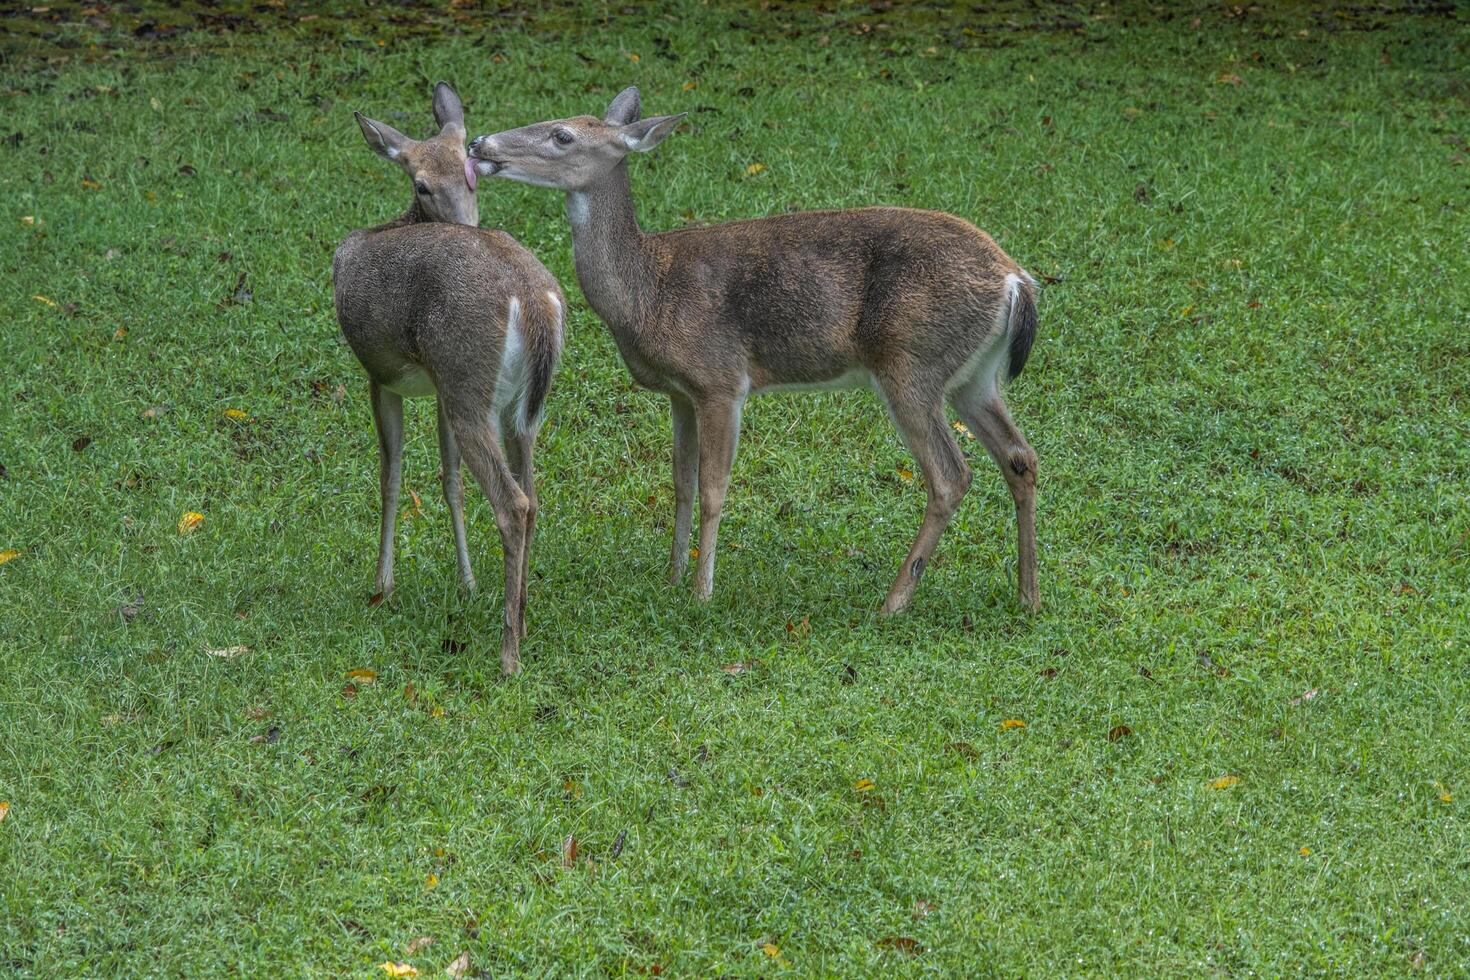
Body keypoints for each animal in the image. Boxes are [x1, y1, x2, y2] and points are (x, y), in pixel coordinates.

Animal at [336, 82, 564, 675]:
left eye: (472, 175)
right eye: (423, 183)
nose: (467, 223)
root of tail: (534, 301)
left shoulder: (380, 373)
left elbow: (391, 475)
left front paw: (382, 584)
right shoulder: (438, 386)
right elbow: (449, 478)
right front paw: (466, 582)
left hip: (468, 380)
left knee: (514, 504)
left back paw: (508, 655)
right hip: (507, 403)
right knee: (533, 494)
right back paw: (522, 619)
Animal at [464, 88, 1040, 617]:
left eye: (562, 135)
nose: (479, 143)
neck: (649, 289)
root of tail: (1016, 281)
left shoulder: (721, 378)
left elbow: (713, 488)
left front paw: (701, 594)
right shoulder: (680, 392)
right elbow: (680, 482)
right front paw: (672, 577)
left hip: (911, 362)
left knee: (950, 475)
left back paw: (893, 602)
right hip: (973, 376)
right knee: (1020, 456)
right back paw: (1027, 596)